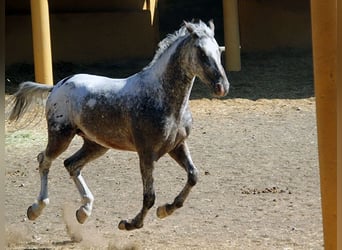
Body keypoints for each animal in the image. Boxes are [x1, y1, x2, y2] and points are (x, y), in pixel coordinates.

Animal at [7, 20, 230, 230]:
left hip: (96, 144)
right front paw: (130, 223)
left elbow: (193, 176)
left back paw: (84, 211)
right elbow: (149, 196)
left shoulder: (177, 146)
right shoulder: (146, 153)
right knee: (44, 160)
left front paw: (166, 210)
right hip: (60, 135)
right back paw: (36, 208)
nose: (222, 87)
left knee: (71, 164)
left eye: (219, 51)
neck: (160, 96)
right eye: (201, 52)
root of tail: (57, 86)